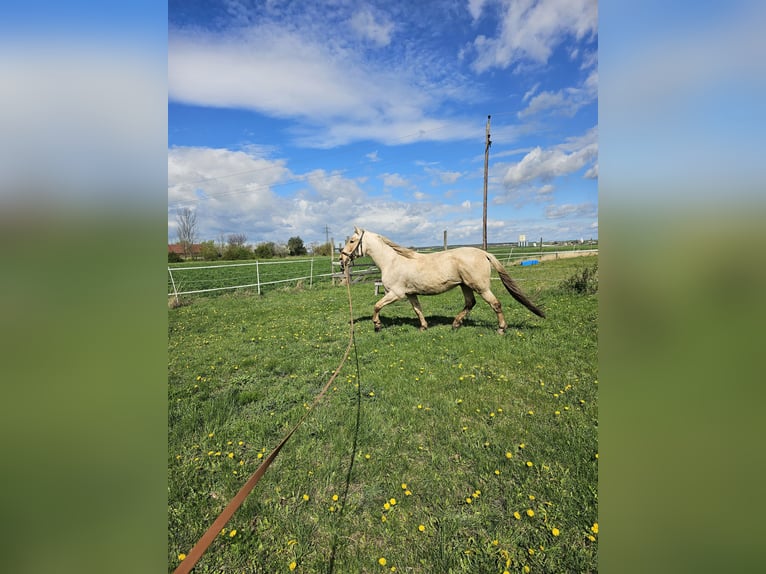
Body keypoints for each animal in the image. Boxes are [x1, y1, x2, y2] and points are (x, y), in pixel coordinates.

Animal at [339, 226, 545, 334]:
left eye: (351, 241)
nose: (341, 259)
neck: (392, 261)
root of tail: (484, 253)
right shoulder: (411, 294)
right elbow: (418, 310)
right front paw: (423, 327)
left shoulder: (395, 294)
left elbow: (376, 306)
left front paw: (377, 325)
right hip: (465, 286)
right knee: (470, 303)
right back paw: (455, 324)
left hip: (481, 287)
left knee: (495, 304)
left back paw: (501, 329)